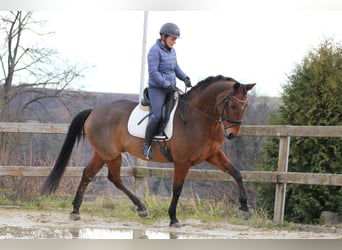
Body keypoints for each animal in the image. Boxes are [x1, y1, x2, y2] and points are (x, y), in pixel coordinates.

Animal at [40, 74, 254, 227]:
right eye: (233, 105)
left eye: (245, 106)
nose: (232, 134)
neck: (198, 118)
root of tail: (94, 111)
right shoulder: (182, 162)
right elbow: (177, 189)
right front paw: (173, 218)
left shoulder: (213, 155)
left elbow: (236, 173)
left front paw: (244, 208)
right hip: (111, 154)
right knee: (114, 178)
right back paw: (141, 207)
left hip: (102, 153)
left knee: (88, 174)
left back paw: (76, 211)